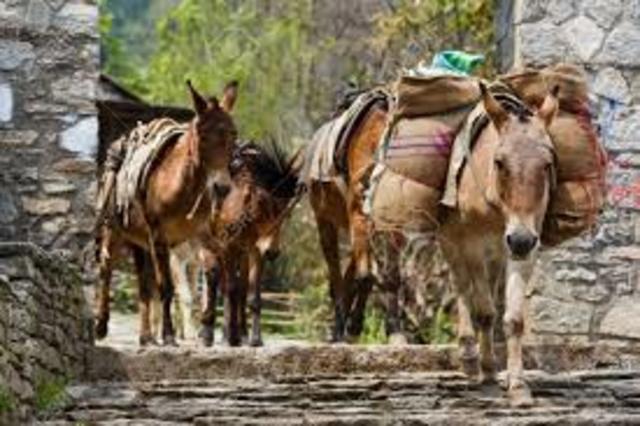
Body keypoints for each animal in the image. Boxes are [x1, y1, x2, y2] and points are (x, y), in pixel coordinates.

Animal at [94, 80, 238, 346]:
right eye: (203, 135)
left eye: (234, 134)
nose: (221, 188)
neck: (182, 187)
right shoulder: (160, 238)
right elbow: (166, 287)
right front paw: (170, 336)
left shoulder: (203, 236)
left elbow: (214, 276)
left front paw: (209, 332)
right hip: (115, 230)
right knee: (106, 268)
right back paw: (101, 326)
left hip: (139, 241)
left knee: (142, 284)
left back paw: (146, 337)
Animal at [194, 141, 303, 347]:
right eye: (265, 204)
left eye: (287, 212)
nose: (272, 252)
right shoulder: (228, 246)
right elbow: (230, 288)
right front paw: (230, 337)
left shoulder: (255, 250)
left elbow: (252, 295)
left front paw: (254, 338)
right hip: (210, 243)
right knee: (215, 279)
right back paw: (210, 332)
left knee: (238, 285)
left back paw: (237, 333)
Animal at [307, 92, 390, 342]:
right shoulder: (352, 218)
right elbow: (358, 275)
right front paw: (349, 324)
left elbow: (359, 274)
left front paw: (351, 324)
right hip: (327, 219)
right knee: (337, 272)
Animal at [437, 83, 559, 406]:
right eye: (499, 162)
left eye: (547, 164)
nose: (519, 239)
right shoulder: (473, 246)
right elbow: (484, 312)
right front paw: (489, 374)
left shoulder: (526, 246)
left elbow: (514, 319)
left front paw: (517, 385)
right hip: (451, 243)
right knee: (460, 286)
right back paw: (469, 355)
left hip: (497, 256)